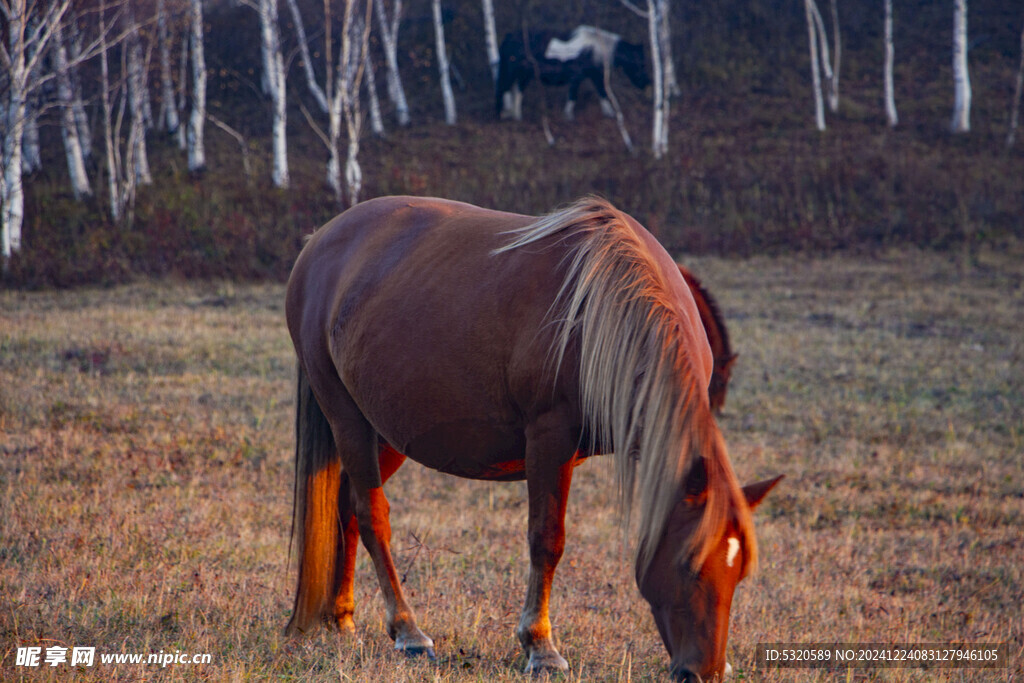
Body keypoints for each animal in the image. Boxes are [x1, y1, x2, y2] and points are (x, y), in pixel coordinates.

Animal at [284, 194, 778, 679]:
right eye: (686, 565)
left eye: (739, 573)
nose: (705, 671)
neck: (602, 313)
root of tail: (319, 242)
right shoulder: (549, 439)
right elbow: (547, 540)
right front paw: (540, 647)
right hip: (348, 419)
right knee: (372, 516)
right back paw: (408, 631)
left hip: (386, 431)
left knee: (346, 507)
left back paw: (341, 616)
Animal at [493, 25, 647, 122]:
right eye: (640, 63)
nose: (646, 84)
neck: (594, 49)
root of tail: (509, 37)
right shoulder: (577, 78)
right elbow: (573, 97)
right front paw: (568, 117)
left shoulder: (594, 76)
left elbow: (602, 93)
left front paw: (610, 114)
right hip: (515, 73)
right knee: (506, 90)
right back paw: (506, 115)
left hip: (521, 74)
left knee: (515, 91)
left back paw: (514, 116)